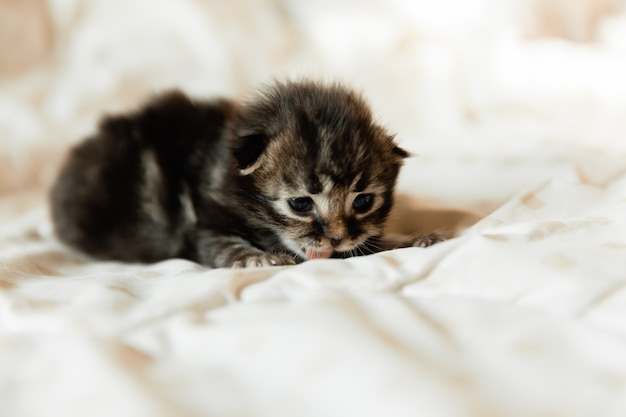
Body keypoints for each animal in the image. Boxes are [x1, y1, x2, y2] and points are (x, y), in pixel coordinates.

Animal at [51, 81, 442, 266]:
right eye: (301, 204)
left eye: (362, 201)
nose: (336, 239)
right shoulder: (204, 226)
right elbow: (223, 245)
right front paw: (255, 256)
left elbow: (367, 245)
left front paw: (411, 239)